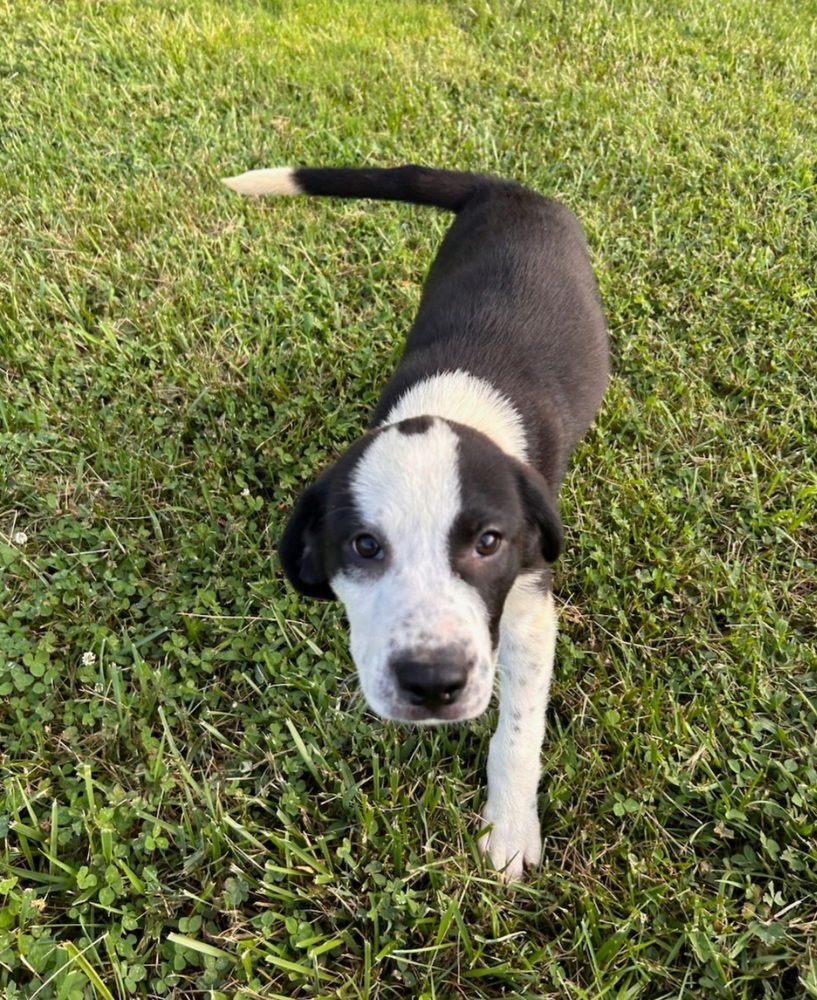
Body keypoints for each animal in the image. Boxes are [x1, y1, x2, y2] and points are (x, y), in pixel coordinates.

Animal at [222, 168, 604, 880]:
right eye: (365, 546)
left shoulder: (530, 607)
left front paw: (510, 830)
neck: (453, 404)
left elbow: (517, 731)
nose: (431, 684)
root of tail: (504, 188)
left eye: (489, 542)